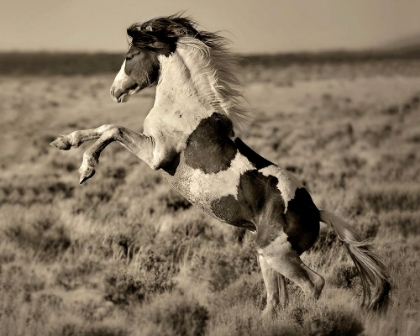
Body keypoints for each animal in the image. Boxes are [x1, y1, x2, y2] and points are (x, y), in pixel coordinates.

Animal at [51, 14, 390, 316]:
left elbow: (112, 129)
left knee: (313, 284)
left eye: (130, 56)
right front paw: (64, 141)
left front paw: (86, 168)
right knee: (275, 301)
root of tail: (316, 212)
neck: (183, 104)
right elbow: (104, 128)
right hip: (266, 256)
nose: (115, 91)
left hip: (278, 254)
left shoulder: (156, 154)